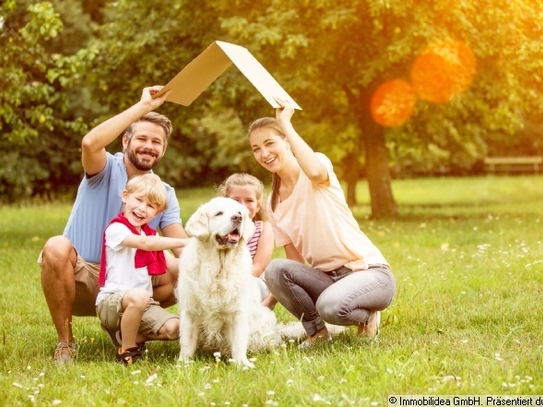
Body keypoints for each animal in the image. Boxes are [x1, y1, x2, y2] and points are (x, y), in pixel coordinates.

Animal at [177, 198, 280, 370]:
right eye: (219, 213)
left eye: (239, 212)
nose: (237, 218)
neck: (219, 267)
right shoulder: (190, 310)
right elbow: (187, 341)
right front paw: (183, 364)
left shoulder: (237, 311)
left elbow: (238, 341)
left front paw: (242, 363)